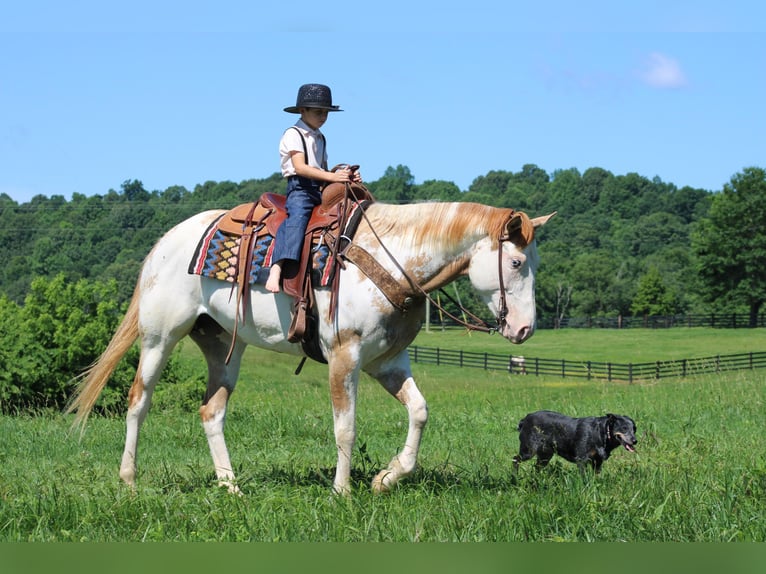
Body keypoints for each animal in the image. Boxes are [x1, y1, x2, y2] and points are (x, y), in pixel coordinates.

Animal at [67, 198, 552, 496]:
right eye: (515, 262)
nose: (525, 329)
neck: (390, 257)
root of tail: (166, 242)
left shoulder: (388, 361)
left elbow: (419, 411)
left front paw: (387, 478)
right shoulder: (344, 357)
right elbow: (346, 428)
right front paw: (342, 491)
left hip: (223, 345)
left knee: (211, 411)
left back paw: (231, 486)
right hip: (159, 338)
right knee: (138, 401)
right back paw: (129, 480)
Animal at [512, 412, 640, 474]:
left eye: (634, 429)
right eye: (624, 428)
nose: (635, 441)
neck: (600, 433)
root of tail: (525, 419)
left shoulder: (597, 463)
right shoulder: (582, 460)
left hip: (545, 455)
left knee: (536, 467)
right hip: (528, 450)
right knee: (515, 459)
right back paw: (514, 478)